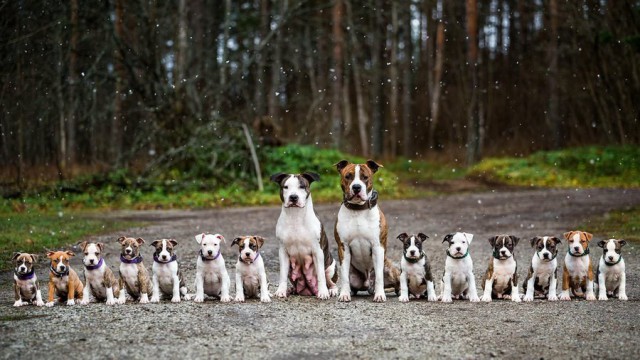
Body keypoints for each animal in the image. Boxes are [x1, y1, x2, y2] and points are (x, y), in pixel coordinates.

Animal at [336, 159, 400, 302]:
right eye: (348, 176)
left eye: (365, 177)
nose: (356, 187)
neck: (358, 210)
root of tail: (367, 285)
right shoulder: (343, 247)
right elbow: (344, 276)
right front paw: (344, 294)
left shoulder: (377, 246)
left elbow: (379, 277)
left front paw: (380, 295)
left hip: (390, 269)